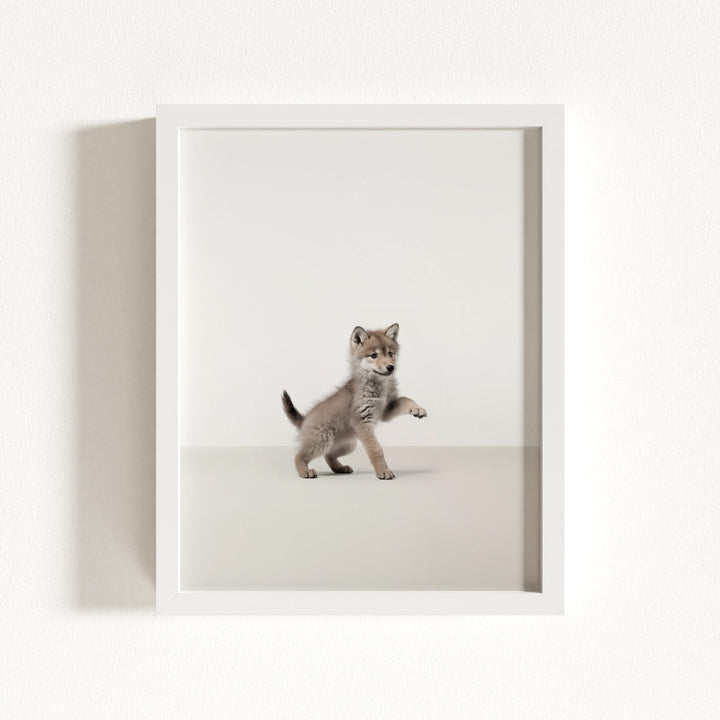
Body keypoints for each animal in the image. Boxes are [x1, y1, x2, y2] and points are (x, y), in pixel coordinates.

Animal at [281, 323, 427, 479]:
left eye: (390, 353)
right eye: (373, 355)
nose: (391, 367)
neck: (379, 385)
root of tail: (303, 420)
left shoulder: (386, 409)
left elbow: (405, 399)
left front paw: (417, 408)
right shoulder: (363, 421)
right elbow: (376, 449)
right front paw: (383, 470)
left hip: (347, 445)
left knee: (328, 455)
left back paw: (340, 468)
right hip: (322, 441)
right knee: (299, 456)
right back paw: (305, 471)